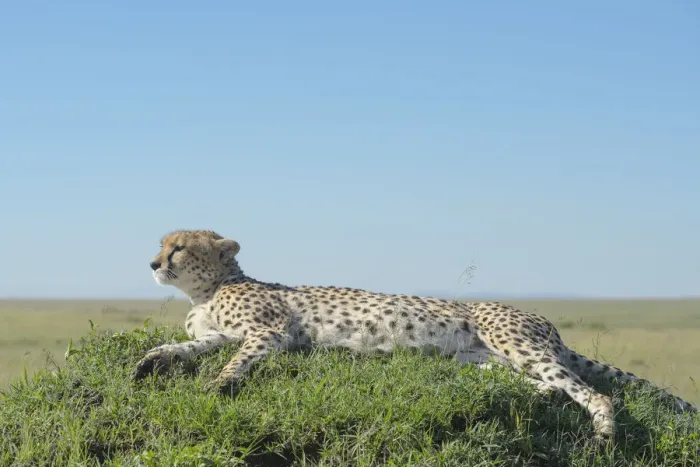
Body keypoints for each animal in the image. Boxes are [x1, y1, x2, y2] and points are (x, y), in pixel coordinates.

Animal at [133, 229, 698, 443]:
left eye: (178, 247)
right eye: (161, 244)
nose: (154, 263)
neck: (206, 292)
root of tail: (547, 325)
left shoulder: (268, 332)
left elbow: (234, 362)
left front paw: (216, 387)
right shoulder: (224, 334)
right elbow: (189, 347)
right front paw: (151, 360)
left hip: (519, 344)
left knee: (591, 391)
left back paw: (603, 433)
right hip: (482, 361)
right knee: (540, 386)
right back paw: (528, 396)